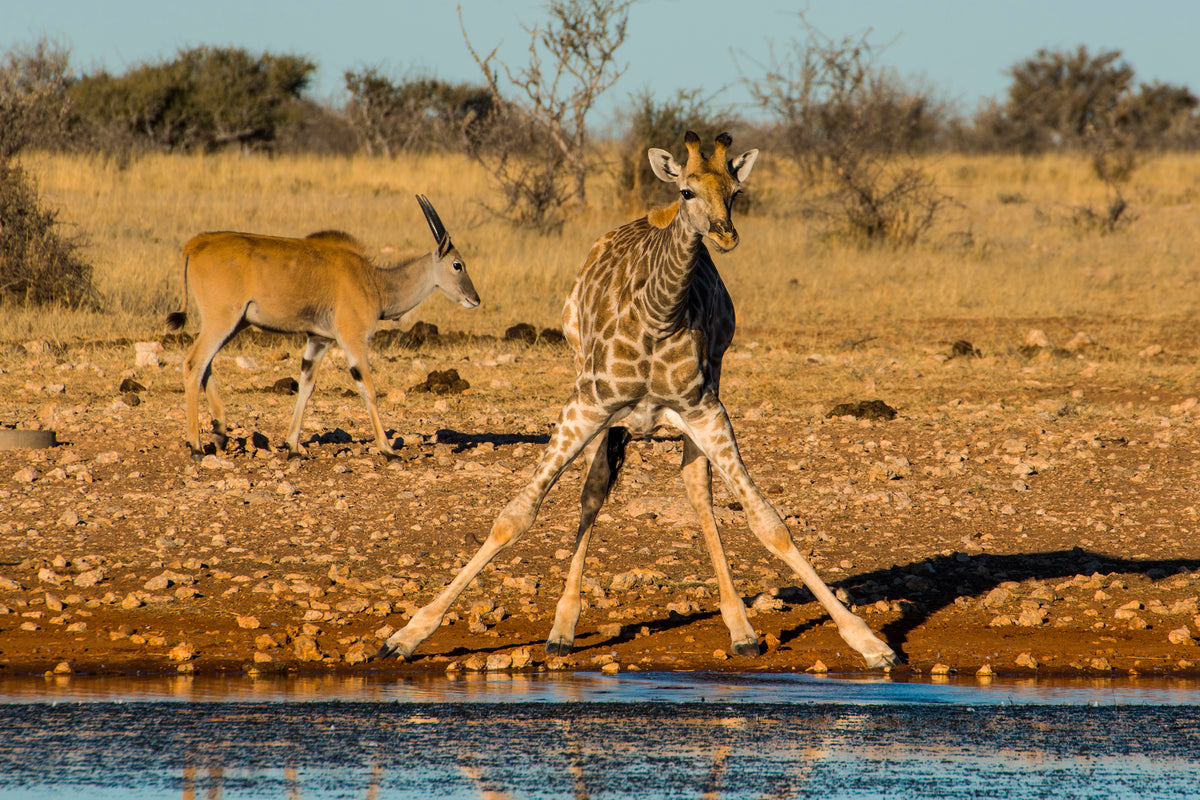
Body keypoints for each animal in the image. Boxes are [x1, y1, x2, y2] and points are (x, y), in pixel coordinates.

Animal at [378, 131, 897, 668]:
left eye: (736, 191)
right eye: (687, 190)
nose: (725, 235)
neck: (659, 315)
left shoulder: (705, 409)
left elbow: (767, 522)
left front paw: (868, 641)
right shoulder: (584, 406)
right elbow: (516, 515)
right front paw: (407, 635)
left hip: (707, 390)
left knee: (697, 491)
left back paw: (740, 628)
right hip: (594, 395)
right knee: (593, 491)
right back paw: (562, 629)